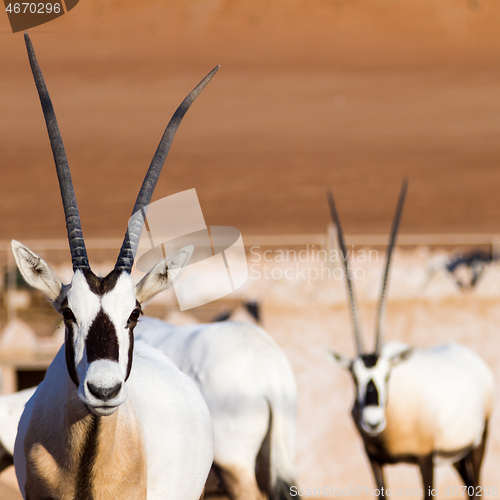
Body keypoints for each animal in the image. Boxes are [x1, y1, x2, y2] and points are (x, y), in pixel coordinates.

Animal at [326, 181, 494, 500]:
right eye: (353, 377)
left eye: (387, 376)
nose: (373, 421)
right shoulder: (374, 461)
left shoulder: (425, 458)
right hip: (457, 455)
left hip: (478, 443)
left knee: (476, 489)